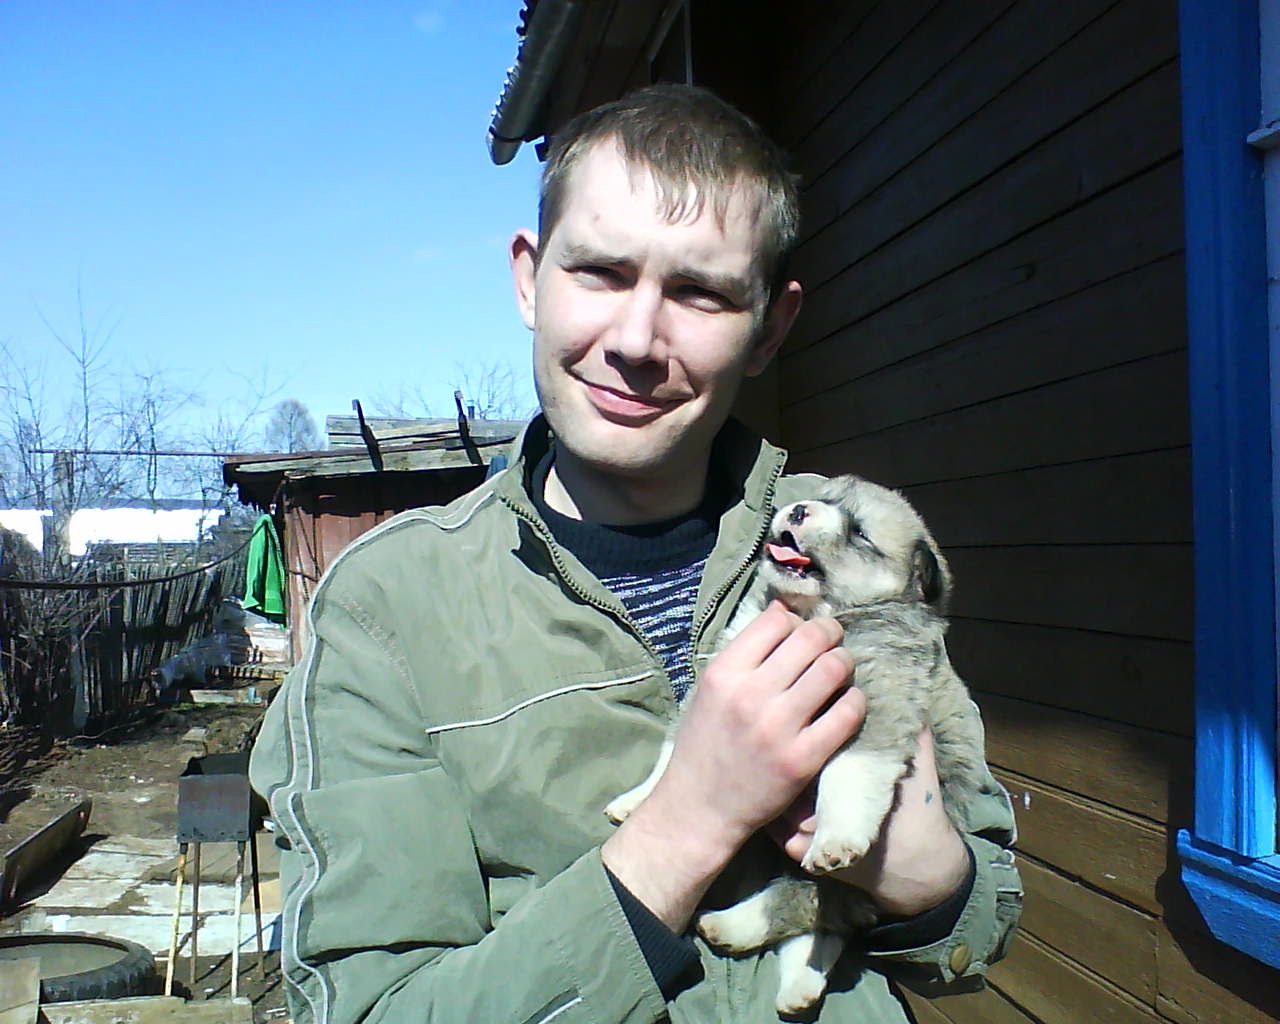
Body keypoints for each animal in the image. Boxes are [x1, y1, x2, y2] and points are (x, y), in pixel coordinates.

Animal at [605, 475, 987, 1016]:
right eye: (825, 498)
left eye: (860, 533)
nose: (800, 509)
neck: (816, 617)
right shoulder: (720, 672)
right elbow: (674, 753)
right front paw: (637, 800)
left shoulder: (876, 703)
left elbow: (848, 774)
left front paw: (835, 837)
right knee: (821, 919)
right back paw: (787, 974)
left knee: (818, 905)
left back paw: (743, 931)